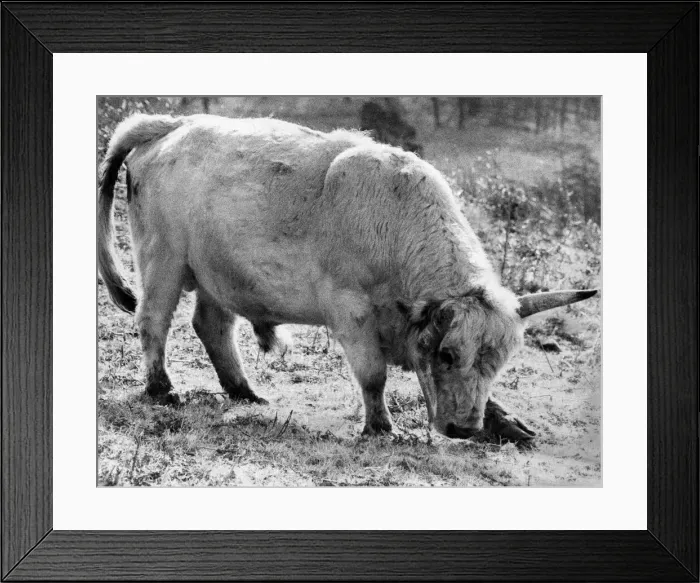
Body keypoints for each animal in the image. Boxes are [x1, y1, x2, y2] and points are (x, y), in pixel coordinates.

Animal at [98, 114, 597, 442]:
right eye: (448, 354)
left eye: (500, 360)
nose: (462, 428)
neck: (395, 222)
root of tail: (172, 125)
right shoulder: (351, 314)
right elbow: (373, 375)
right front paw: (381, 428)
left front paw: (503, 421)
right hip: (163, 260)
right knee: (153, 320)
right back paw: (162, 390)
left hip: (217, 275)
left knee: (212, 326)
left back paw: (244, 392)